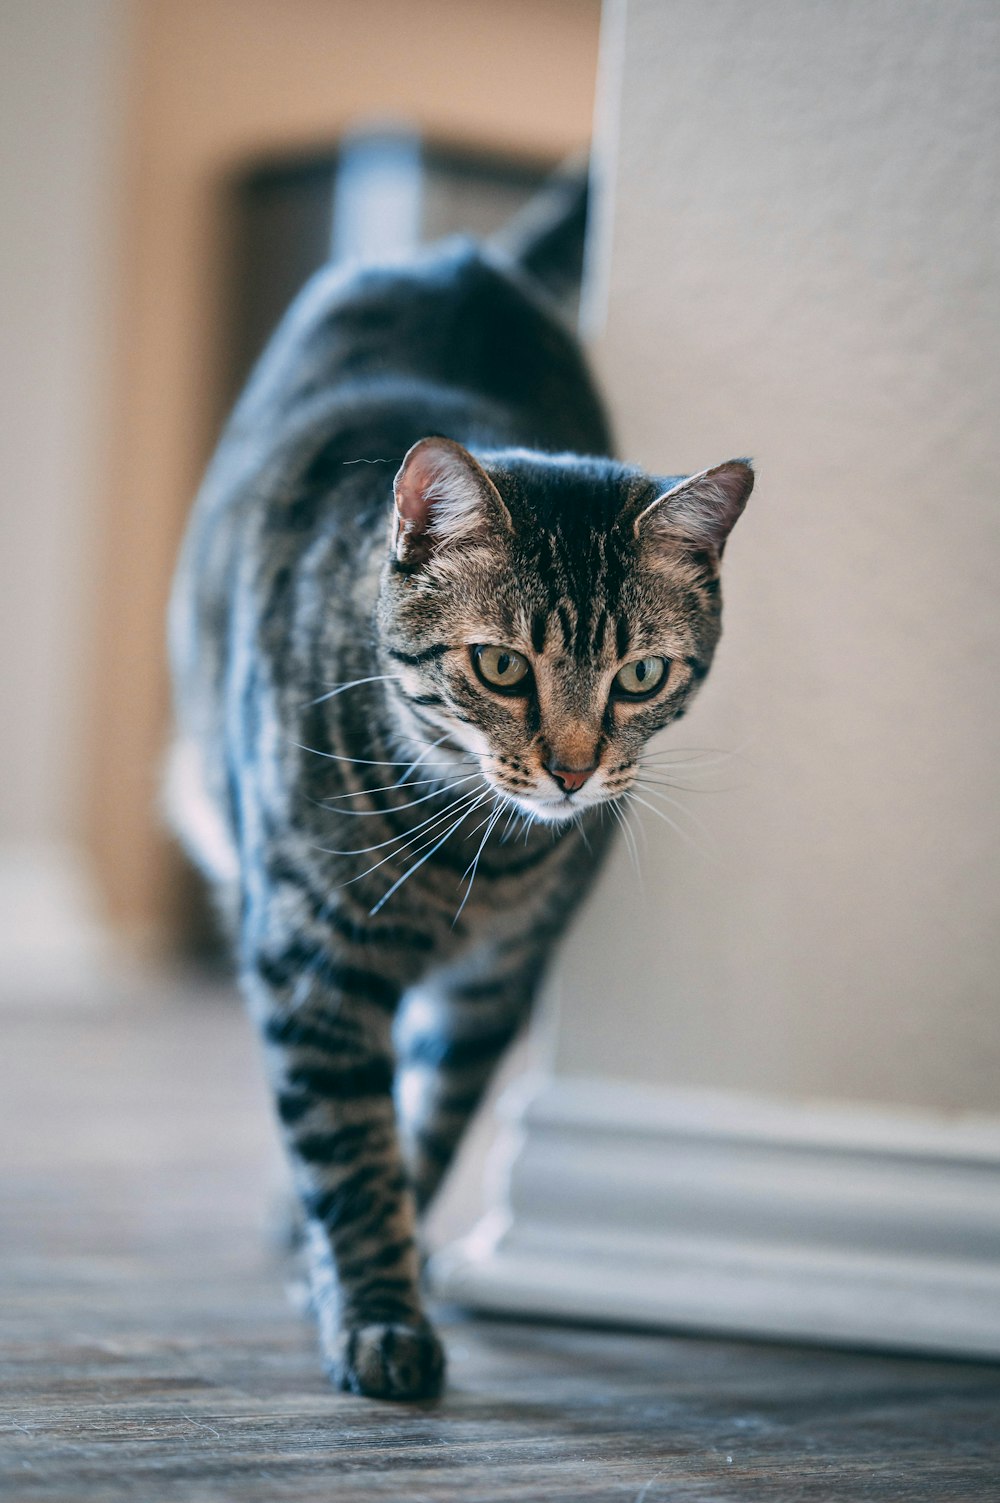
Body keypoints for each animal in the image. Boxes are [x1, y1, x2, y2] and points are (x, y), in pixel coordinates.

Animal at [169, 193, 748, 1400]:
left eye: (639, 676)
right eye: (500, 667)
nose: (573, 769)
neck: (471, 855)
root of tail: (463, 255)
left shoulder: (497, 982)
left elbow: (424, 1131)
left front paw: (365, 1271)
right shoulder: (308, 961)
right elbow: (350, 1148)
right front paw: (377, 1313)